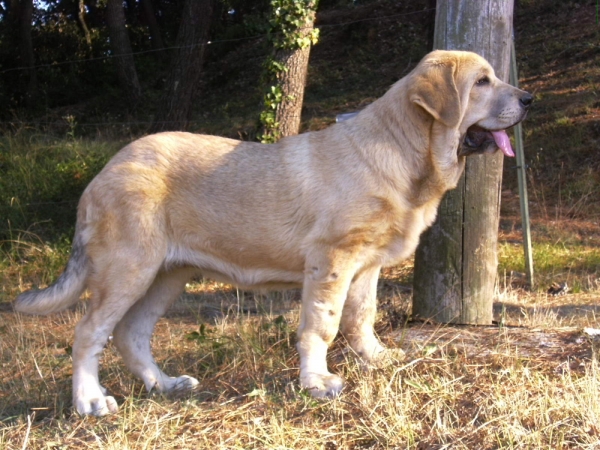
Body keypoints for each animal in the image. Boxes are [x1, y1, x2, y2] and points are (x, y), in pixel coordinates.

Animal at [14, 49, 532, 414]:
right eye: (481, 82)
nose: (530, 99)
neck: (406, 149)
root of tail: (103, 173)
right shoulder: (331, 261)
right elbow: (322, 325)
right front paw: (317, 383)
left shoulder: (366, 266)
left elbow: (361, 317)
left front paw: (375, 357)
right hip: (129, 267)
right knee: (89, 333)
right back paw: (89, 401)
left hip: (168, 274)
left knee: (131, 334)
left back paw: (165, 385)